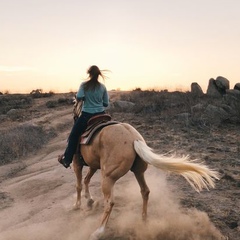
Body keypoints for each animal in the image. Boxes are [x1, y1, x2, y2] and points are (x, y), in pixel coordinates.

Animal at [70, 98, 219, 239]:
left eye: (74, 104)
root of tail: (134, 138)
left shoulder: (77, 162)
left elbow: (78, 184)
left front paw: (77, 204)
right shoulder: (93, 164)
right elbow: (86, 179)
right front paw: (89, 200)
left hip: (108, 177)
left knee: (110, 202)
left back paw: (98, 232)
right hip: (138, 171)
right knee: (145, 191)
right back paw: (144, 220)